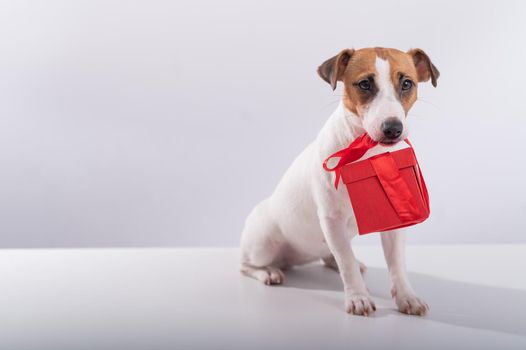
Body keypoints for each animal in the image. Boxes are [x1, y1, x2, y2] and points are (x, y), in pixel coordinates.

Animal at [241, 47, 440, 318]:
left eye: (407, 83)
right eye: (365, 84)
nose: (393, 128)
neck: (367, 152)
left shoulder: (394, 223)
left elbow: (397, 264)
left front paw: (407, 297)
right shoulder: (332, 220)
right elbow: (346, 263)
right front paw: (358, 297)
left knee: (330, 255)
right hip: (263, 244)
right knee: (246, 265)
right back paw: (268, 272)